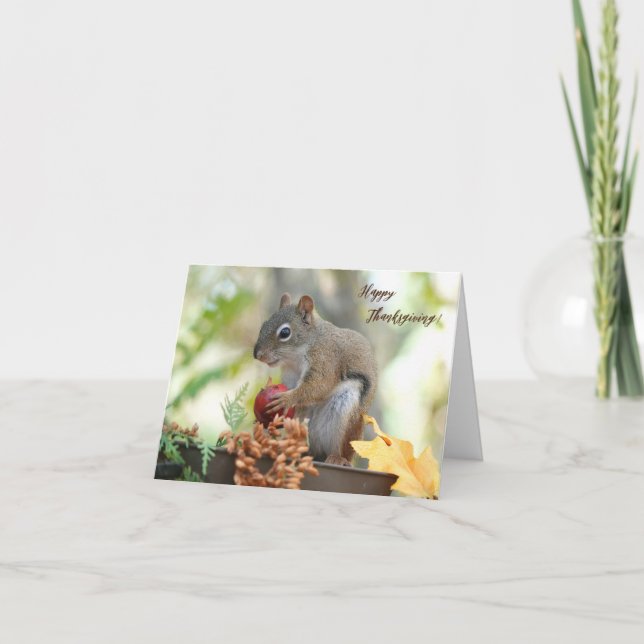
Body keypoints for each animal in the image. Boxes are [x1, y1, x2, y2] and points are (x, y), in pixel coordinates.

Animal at [253, 293, 377, 466]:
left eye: (285, 333)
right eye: (263, 326)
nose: (257, 354)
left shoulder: (326, 357)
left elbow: (320, 384)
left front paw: (287, 399)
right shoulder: (290, 375)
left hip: (345, 412)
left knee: (339, 448)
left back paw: (336, 458)